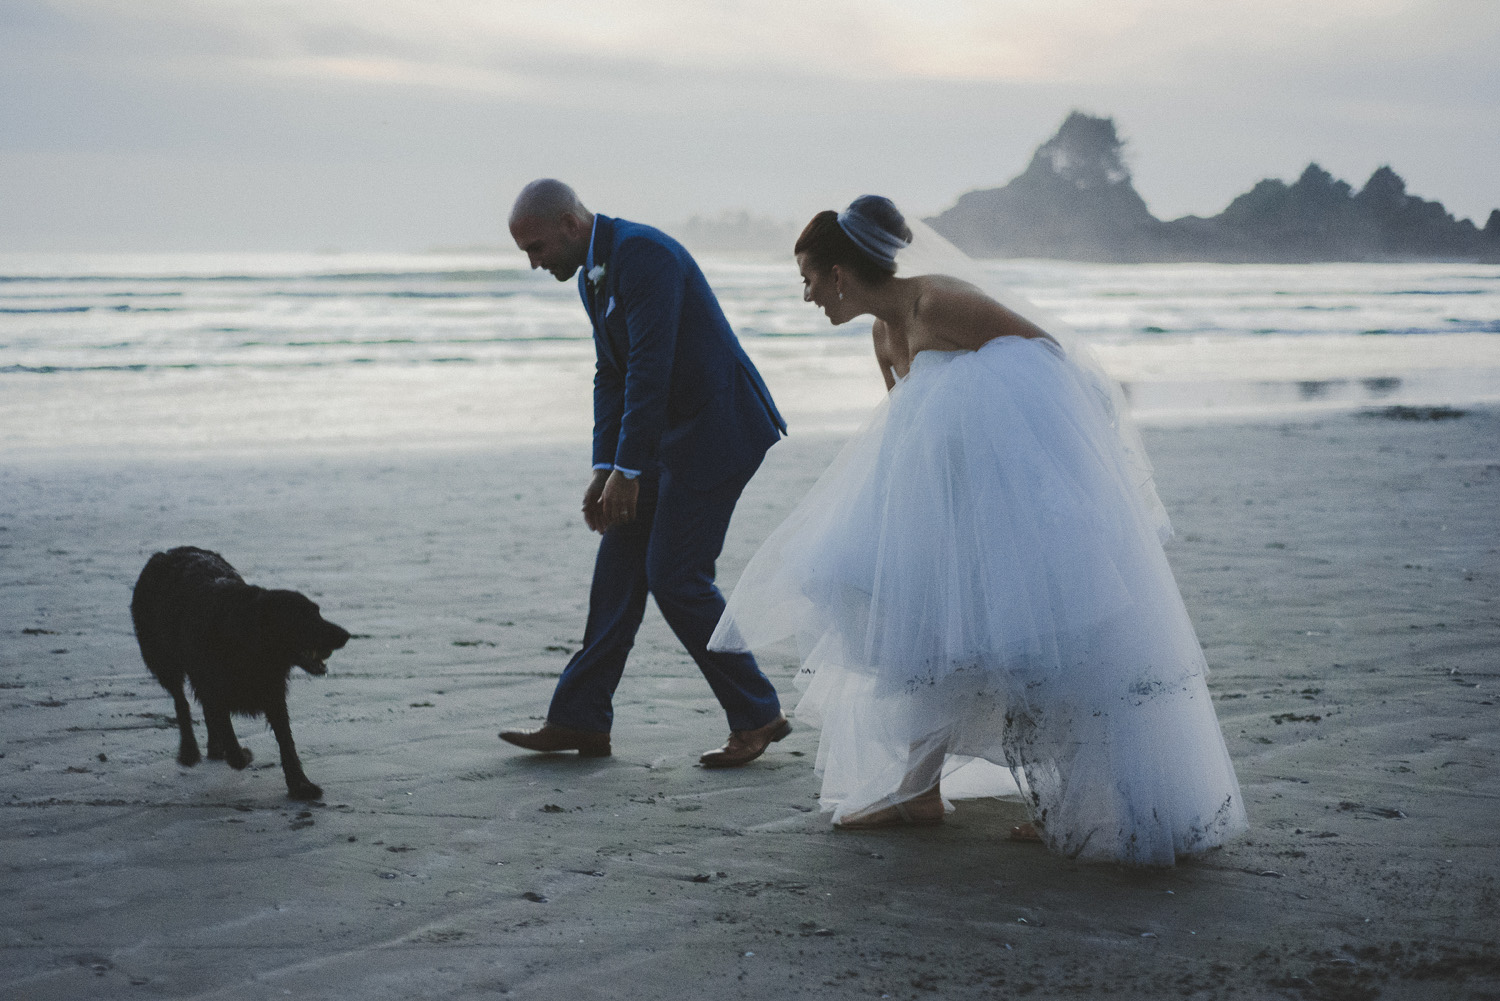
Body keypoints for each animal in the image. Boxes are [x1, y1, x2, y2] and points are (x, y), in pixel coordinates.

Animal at [129, 549, 351, 798]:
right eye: (303, 618)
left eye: (317, 612)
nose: (346, 635)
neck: (245, 636)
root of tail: (165, 553)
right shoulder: (214, 684)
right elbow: (228, 734)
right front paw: (240, 755)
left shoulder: (271, 690)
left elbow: (286, 741)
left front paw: (300, 784)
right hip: (163, 659)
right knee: (180, 701)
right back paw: (190, 751)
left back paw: (214, 748)